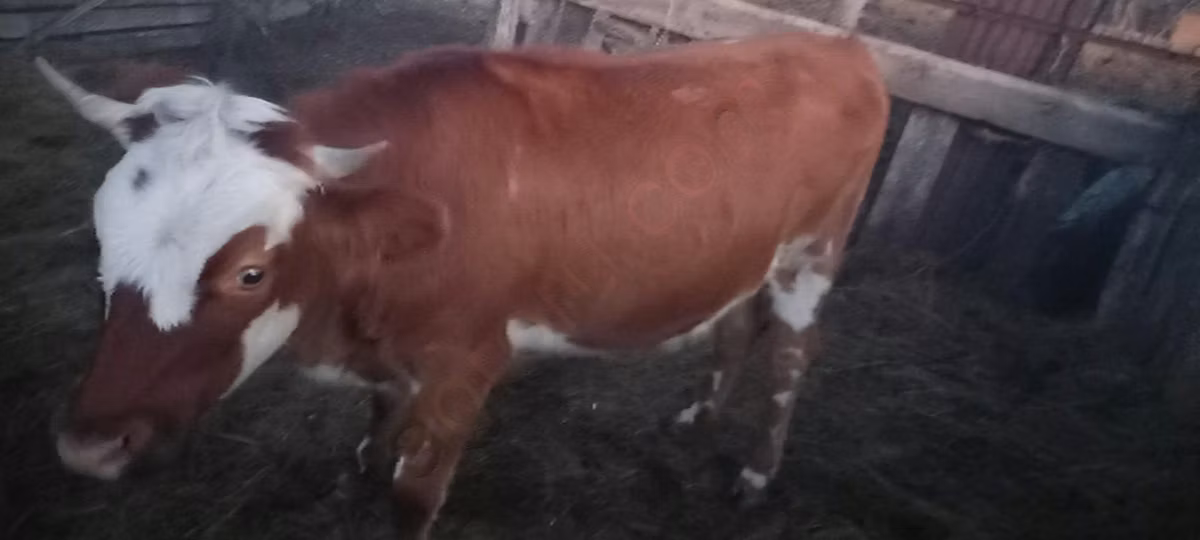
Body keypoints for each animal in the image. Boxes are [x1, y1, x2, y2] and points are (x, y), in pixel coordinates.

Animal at [39, 30, 888, 539]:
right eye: (103, 237)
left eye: (250, 272)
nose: (90, 447)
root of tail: (834, 43)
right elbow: (377, 420)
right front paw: (362, 464)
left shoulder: (469, 362)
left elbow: (415, 494)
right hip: (752, 259)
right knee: (737, 326)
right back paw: (697, 418)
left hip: (814, 253)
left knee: (792, 360)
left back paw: (754, 473)